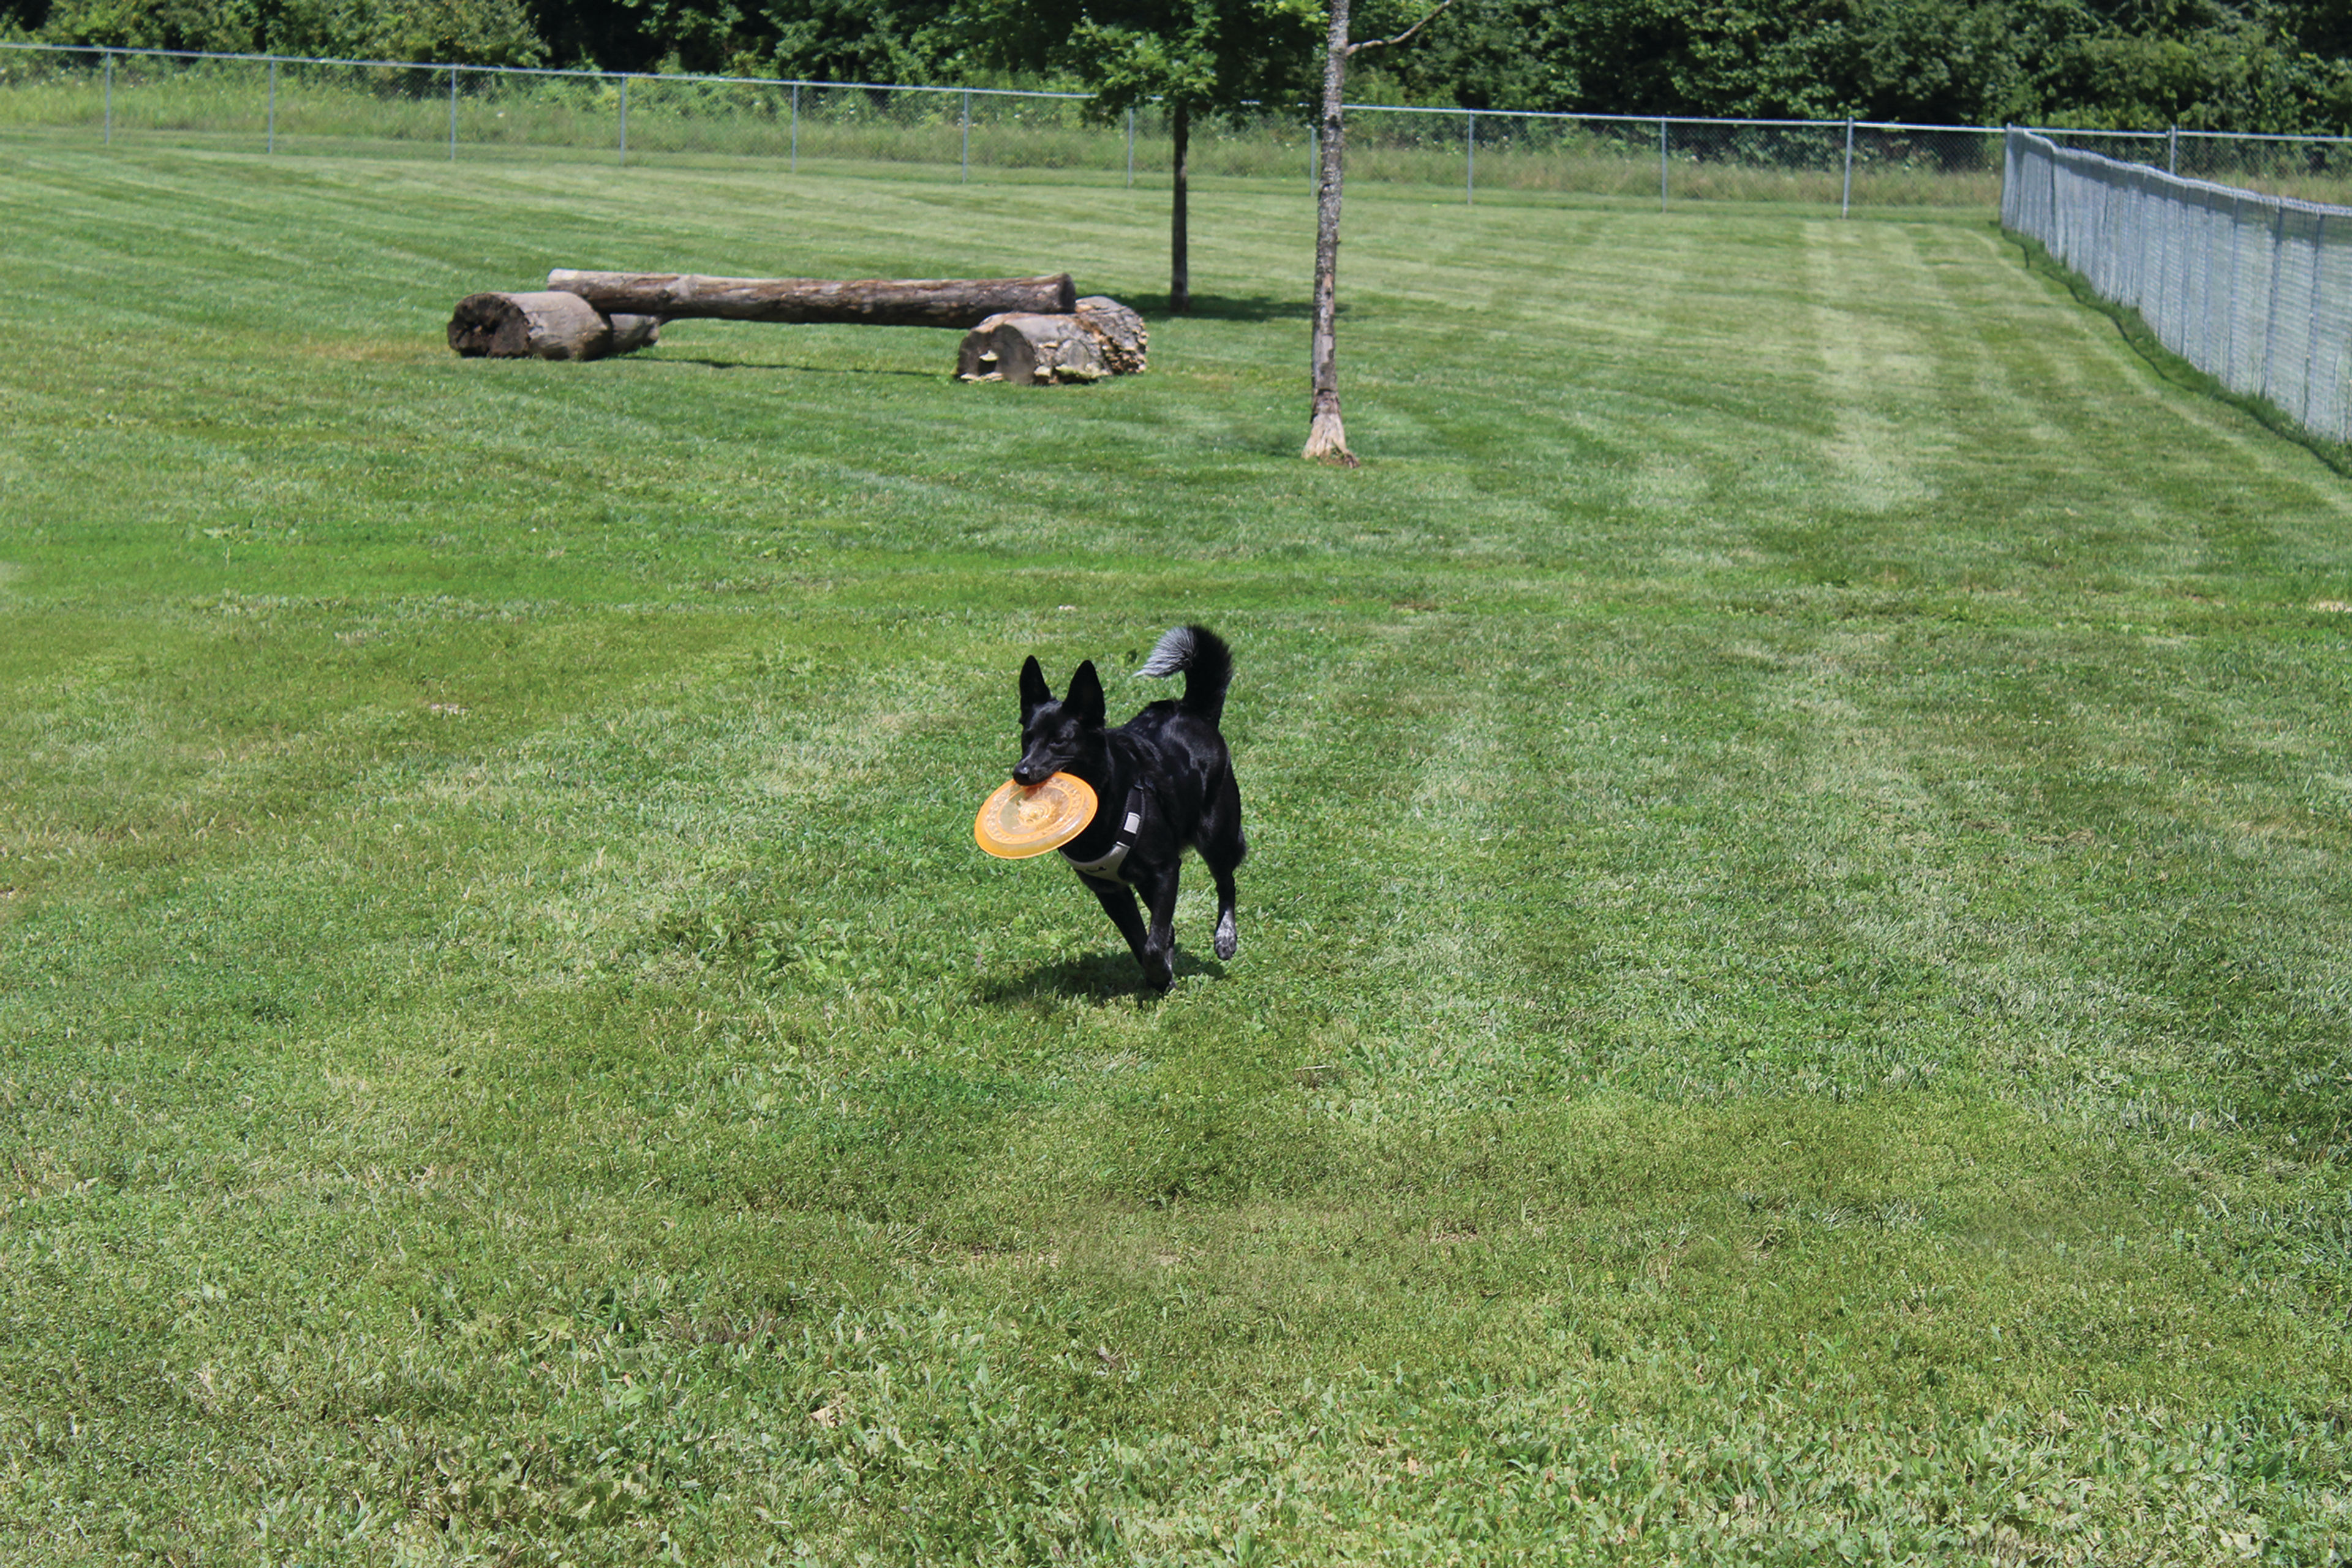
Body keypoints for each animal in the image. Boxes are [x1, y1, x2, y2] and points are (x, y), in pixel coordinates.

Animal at [1011, 630, 1251, 987]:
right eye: (1027, 738)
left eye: (1059, 741)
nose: (1021, 773)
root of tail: (1192, 710)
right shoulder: (1111, 891)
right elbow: (1143, 941)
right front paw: (1161, 977)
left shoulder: (1165, 870)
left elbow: (1152, 944)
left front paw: (1161, 973)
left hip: (1217, 834)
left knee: (1226, 883)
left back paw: (1225, 937)